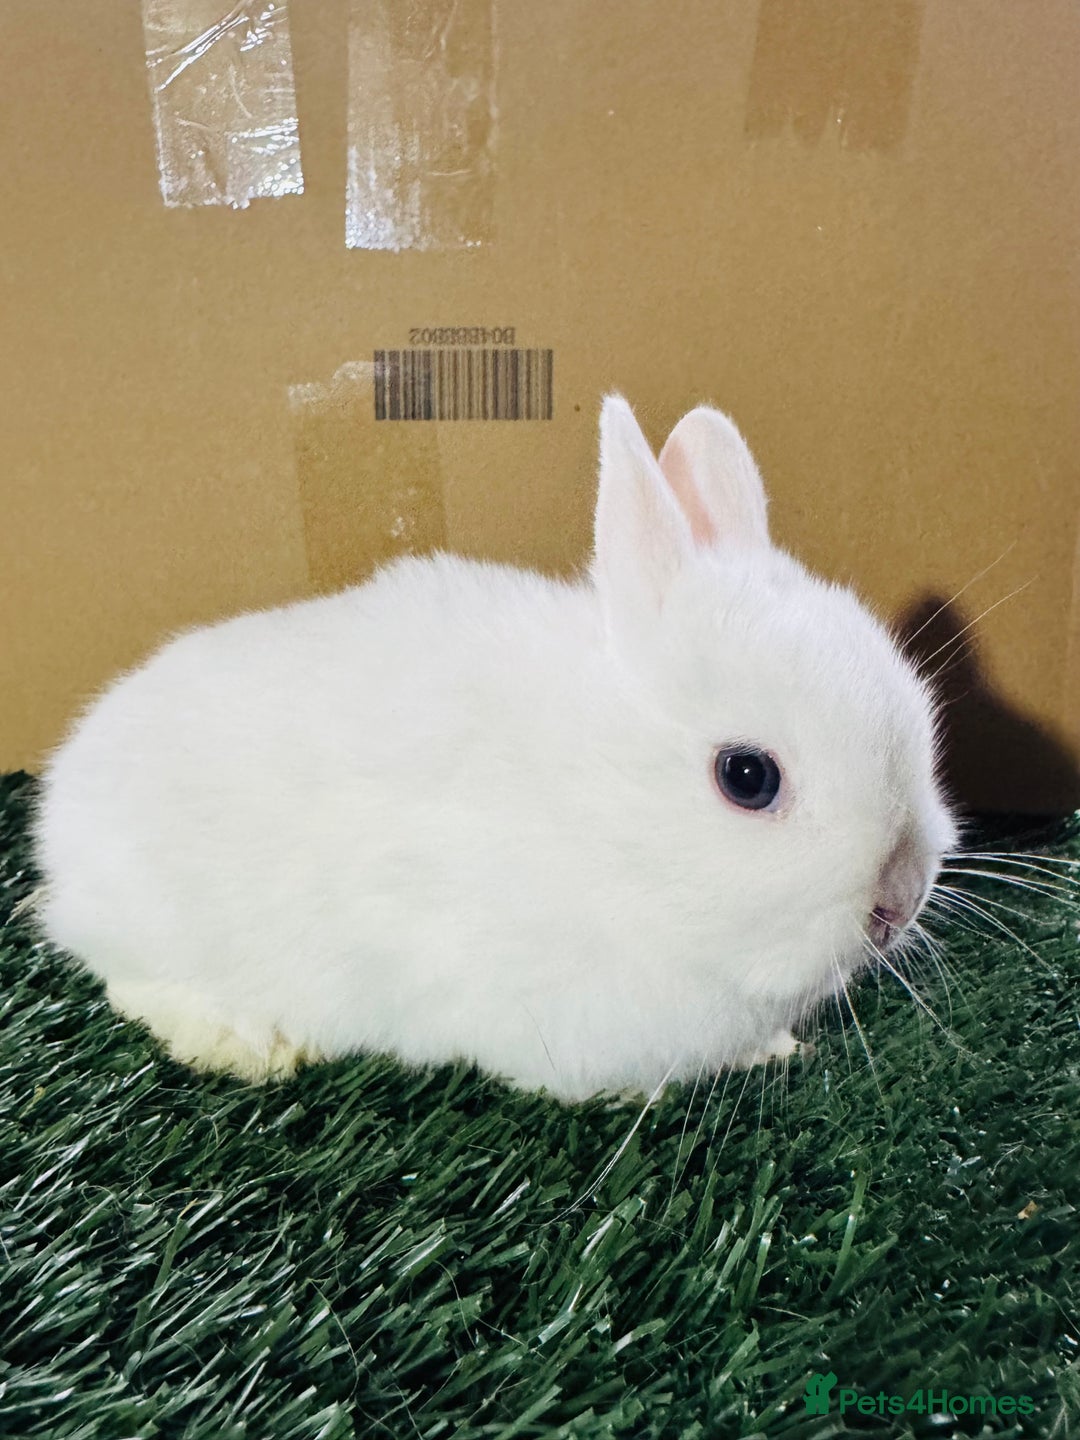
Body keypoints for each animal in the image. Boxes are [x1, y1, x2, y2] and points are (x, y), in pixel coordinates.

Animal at [32, 397, 957, 1102]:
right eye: (748, 777)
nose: (901, 898)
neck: (606, 818)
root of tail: (56, 819)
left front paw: (777, 1047)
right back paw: (249, 1045)